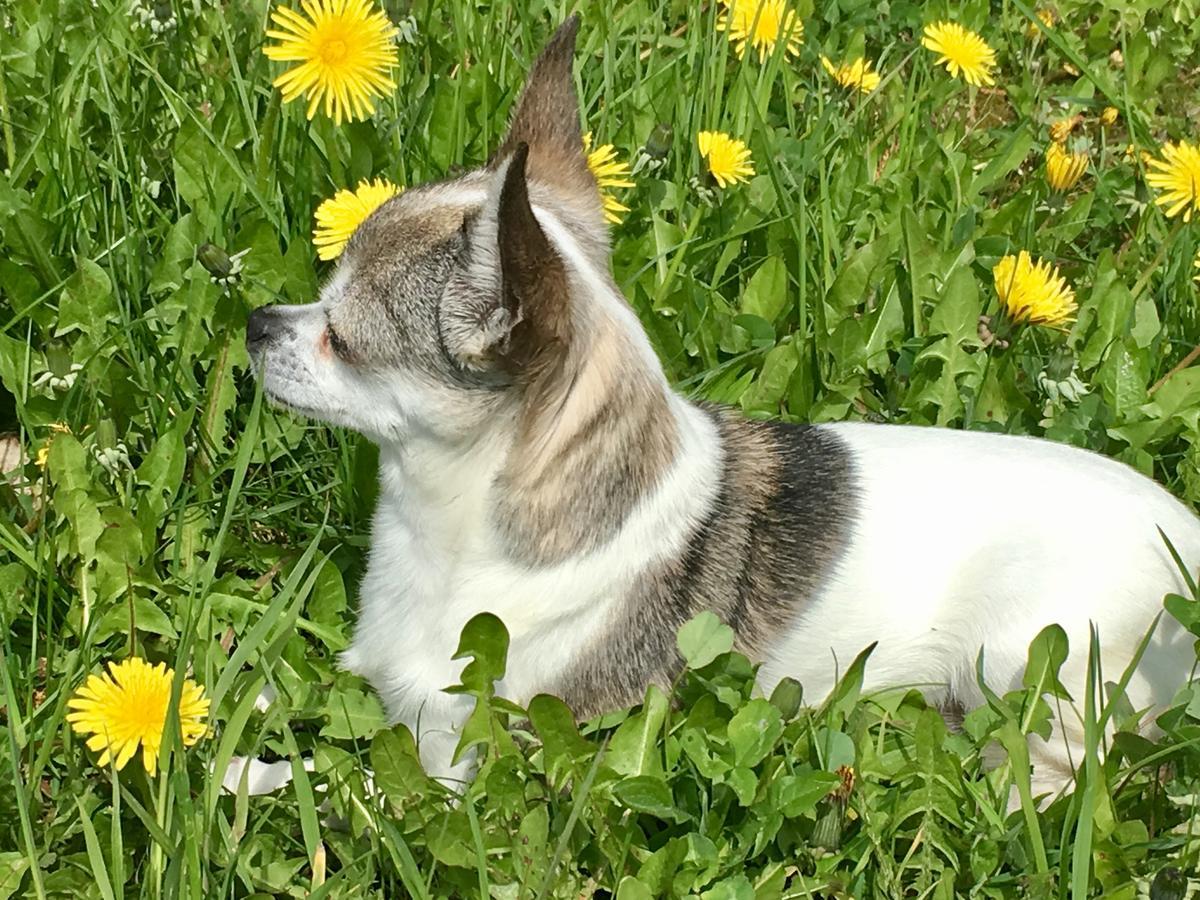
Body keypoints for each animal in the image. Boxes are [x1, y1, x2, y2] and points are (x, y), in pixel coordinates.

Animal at [250, 19, 1200, 796]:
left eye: (342, 337)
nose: (257, 322)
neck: (443, 526)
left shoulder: (467, 757)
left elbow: (350, 789)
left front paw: (237, 782)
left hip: (1027, 653)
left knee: (1072, 766)